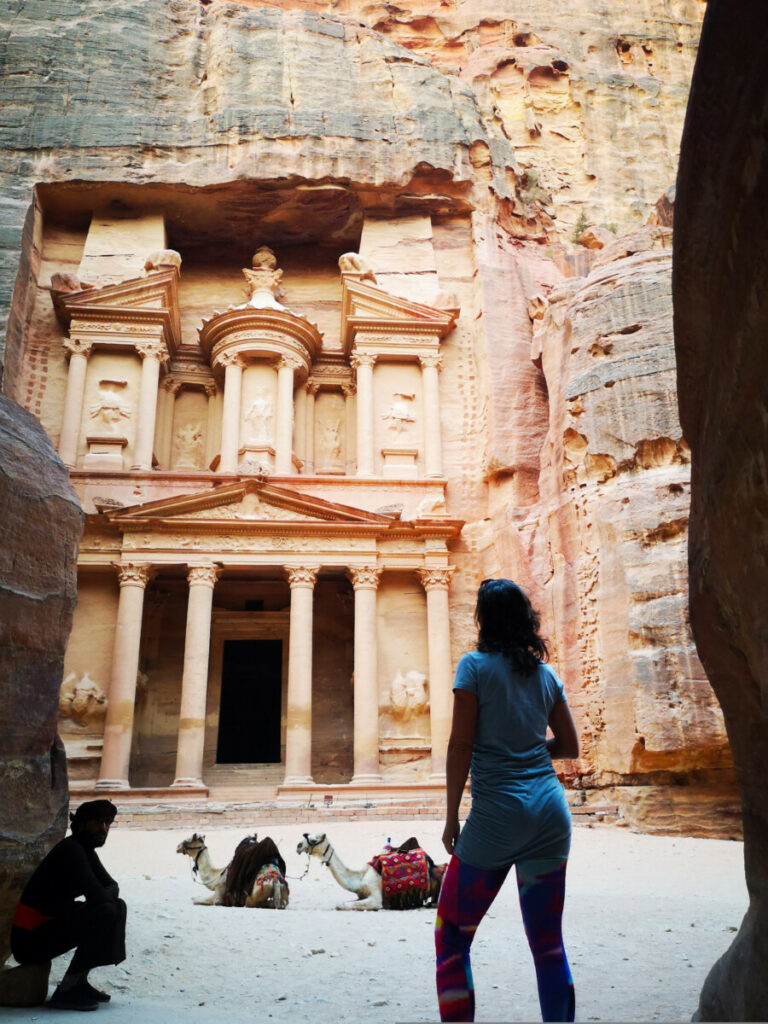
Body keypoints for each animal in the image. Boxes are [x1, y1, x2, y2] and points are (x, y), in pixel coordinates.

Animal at [296, 831, 448, 913]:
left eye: (313, 839)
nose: (298, 845)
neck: (360, 879)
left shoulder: (375, 897)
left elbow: (341, 905)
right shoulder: (361, 895)